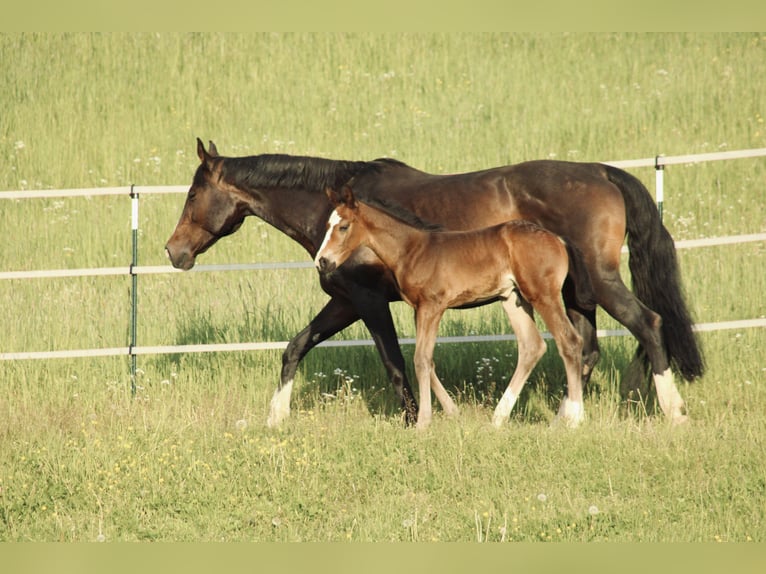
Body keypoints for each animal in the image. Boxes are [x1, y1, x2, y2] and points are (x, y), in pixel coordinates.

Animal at [315, 185, 598, 429]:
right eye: (327, 226)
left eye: (343, 226)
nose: (322, 262)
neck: (413, 250)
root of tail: (559, 239)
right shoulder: (419, 309)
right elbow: (427, 360)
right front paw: (452, 412)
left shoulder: (432, 306)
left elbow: (421, 359)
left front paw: (423, 423)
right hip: (513, 298)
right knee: (532, 347)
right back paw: (498, 418)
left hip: (543, 295)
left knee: (570, 342)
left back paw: (573, 418)